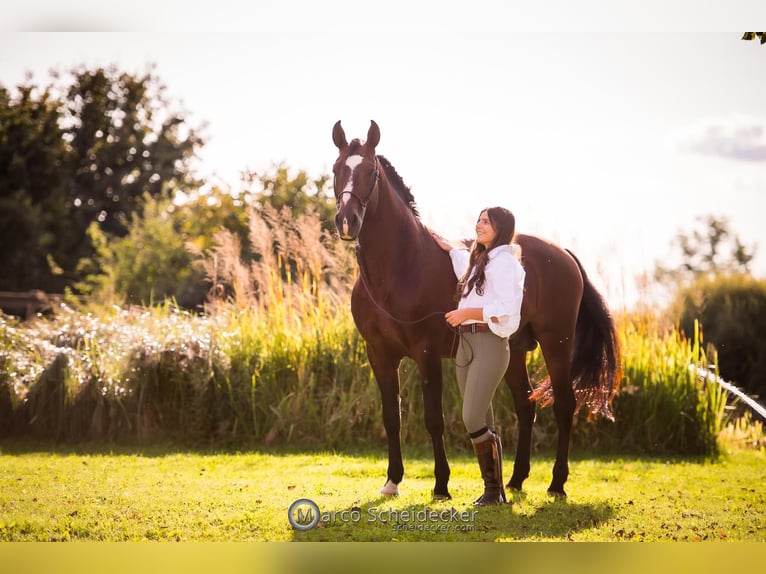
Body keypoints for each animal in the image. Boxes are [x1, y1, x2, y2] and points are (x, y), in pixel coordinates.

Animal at [332, 118, 620, 500]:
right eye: (336, 169)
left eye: (370, 170)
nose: (347, 221)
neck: (401, 267)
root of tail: (563, 254)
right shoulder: (379, 354)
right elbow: (391, 418)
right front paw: (392, 481)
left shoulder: (425, 352)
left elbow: (433, 419)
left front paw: (441, 485)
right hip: (514, 350)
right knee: (526, 405)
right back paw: (515, 480)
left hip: (556, 343)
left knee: (564, 405)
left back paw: (557, 484)